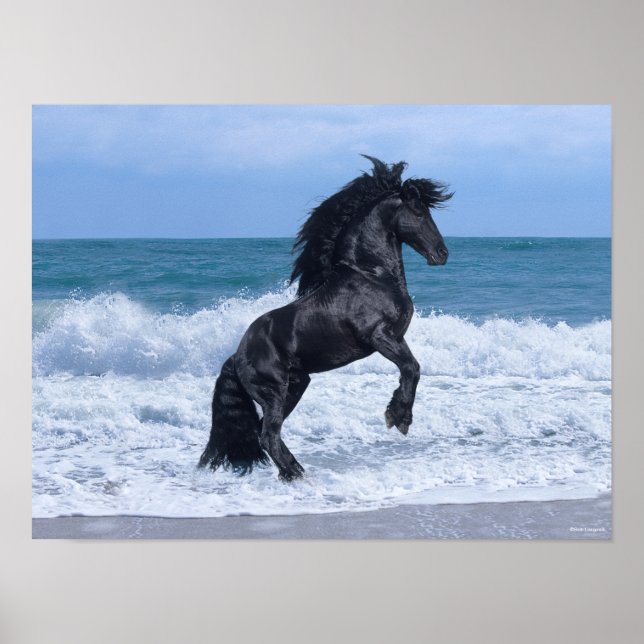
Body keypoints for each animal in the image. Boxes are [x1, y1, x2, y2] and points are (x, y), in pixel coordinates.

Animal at [198, 155, 452, 481]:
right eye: (419, 212)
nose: (442, 254)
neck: (370, 275)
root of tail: (236, 355)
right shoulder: (378, 336)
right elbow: (412, 367)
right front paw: (398, 418)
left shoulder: (395, 337)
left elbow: (412, 368)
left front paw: (398, 415)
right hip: (274, 391)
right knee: (268, 434)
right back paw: (295, 475)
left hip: (296, 385)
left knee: (267, 432)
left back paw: (295, 471)